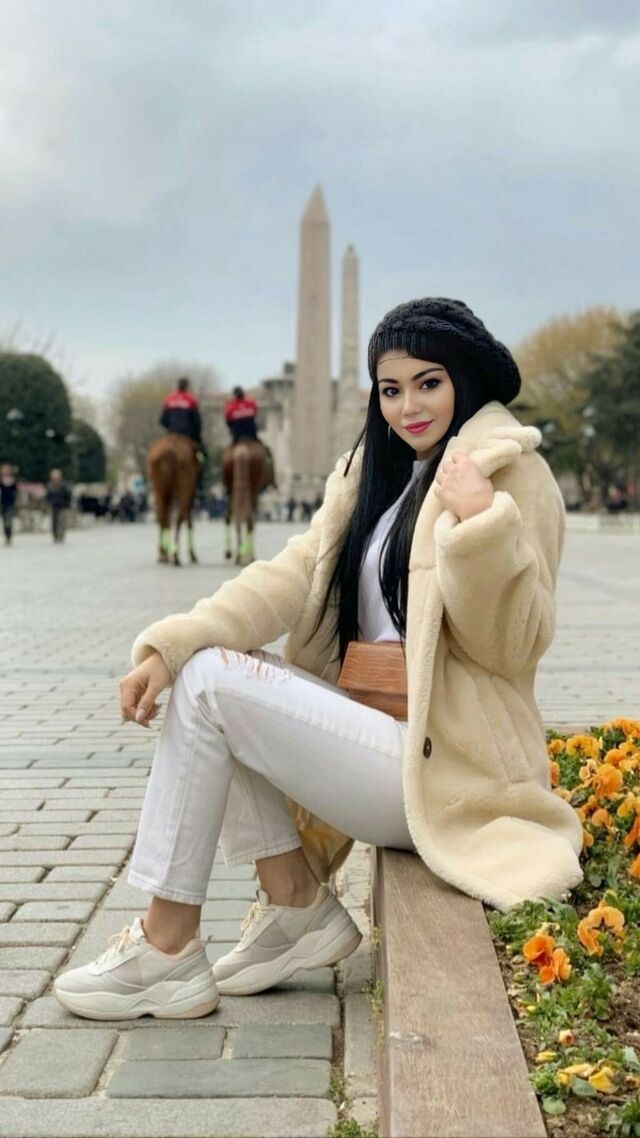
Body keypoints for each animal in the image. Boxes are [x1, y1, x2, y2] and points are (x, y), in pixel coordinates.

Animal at [147, 433, 200, 566]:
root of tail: (170, 451)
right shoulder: (191, 489)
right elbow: (189, 518)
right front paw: (192, 555)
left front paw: (164, 553)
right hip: (185, 482)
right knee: (180, 515)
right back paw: (175, 556)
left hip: (158, 485)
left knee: (163, 515)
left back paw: (166, 555)